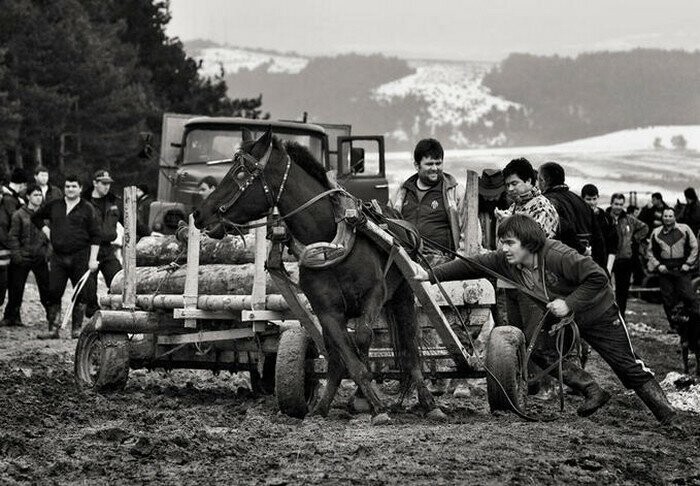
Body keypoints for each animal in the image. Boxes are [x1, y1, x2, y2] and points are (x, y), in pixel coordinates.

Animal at [191, 127, 442, 424]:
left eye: (240, 173)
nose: (199, 214)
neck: (327, 242)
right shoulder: (327, 311)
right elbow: (345, 357)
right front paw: (369, 404)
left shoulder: (374, 294)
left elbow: (363, 338)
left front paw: (375, 405)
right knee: (337, 357)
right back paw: (325, 406)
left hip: (402, 296)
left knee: (409, 349)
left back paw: (429, 403)